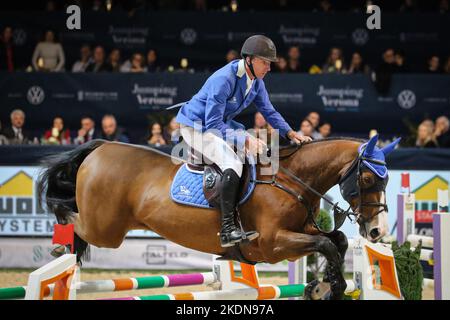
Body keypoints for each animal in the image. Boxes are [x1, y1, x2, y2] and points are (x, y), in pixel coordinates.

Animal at [37, 134, 400, 298]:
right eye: (367, 179)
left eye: (386, 181)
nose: (377, 231)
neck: (293, 180)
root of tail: (100, 147)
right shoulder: (273, 245)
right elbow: (326, 245)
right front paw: (332, 286)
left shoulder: (302, 232)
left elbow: (336, 241)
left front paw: (322, 285)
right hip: (106, 229)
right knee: (72, 220)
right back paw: (58, 247)